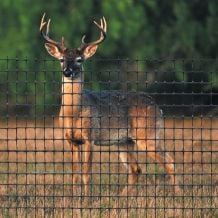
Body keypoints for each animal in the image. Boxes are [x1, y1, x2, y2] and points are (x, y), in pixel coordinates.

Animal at [39, 14, 181, 198]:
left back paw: (178, 195)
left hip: (148, 135)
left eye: (79, 60)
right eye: (61, 59)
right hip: (124, 142)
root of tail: (159, 108)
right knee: (136, 169)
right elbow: (74, 174)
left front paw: (87, 200)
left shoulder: (90, 136)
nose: (67, 71)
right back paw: (121, 198)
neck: (74, 113)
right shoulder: (70, 139)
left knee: (169, 162)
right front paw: (73, 199)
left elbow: (86, 172)